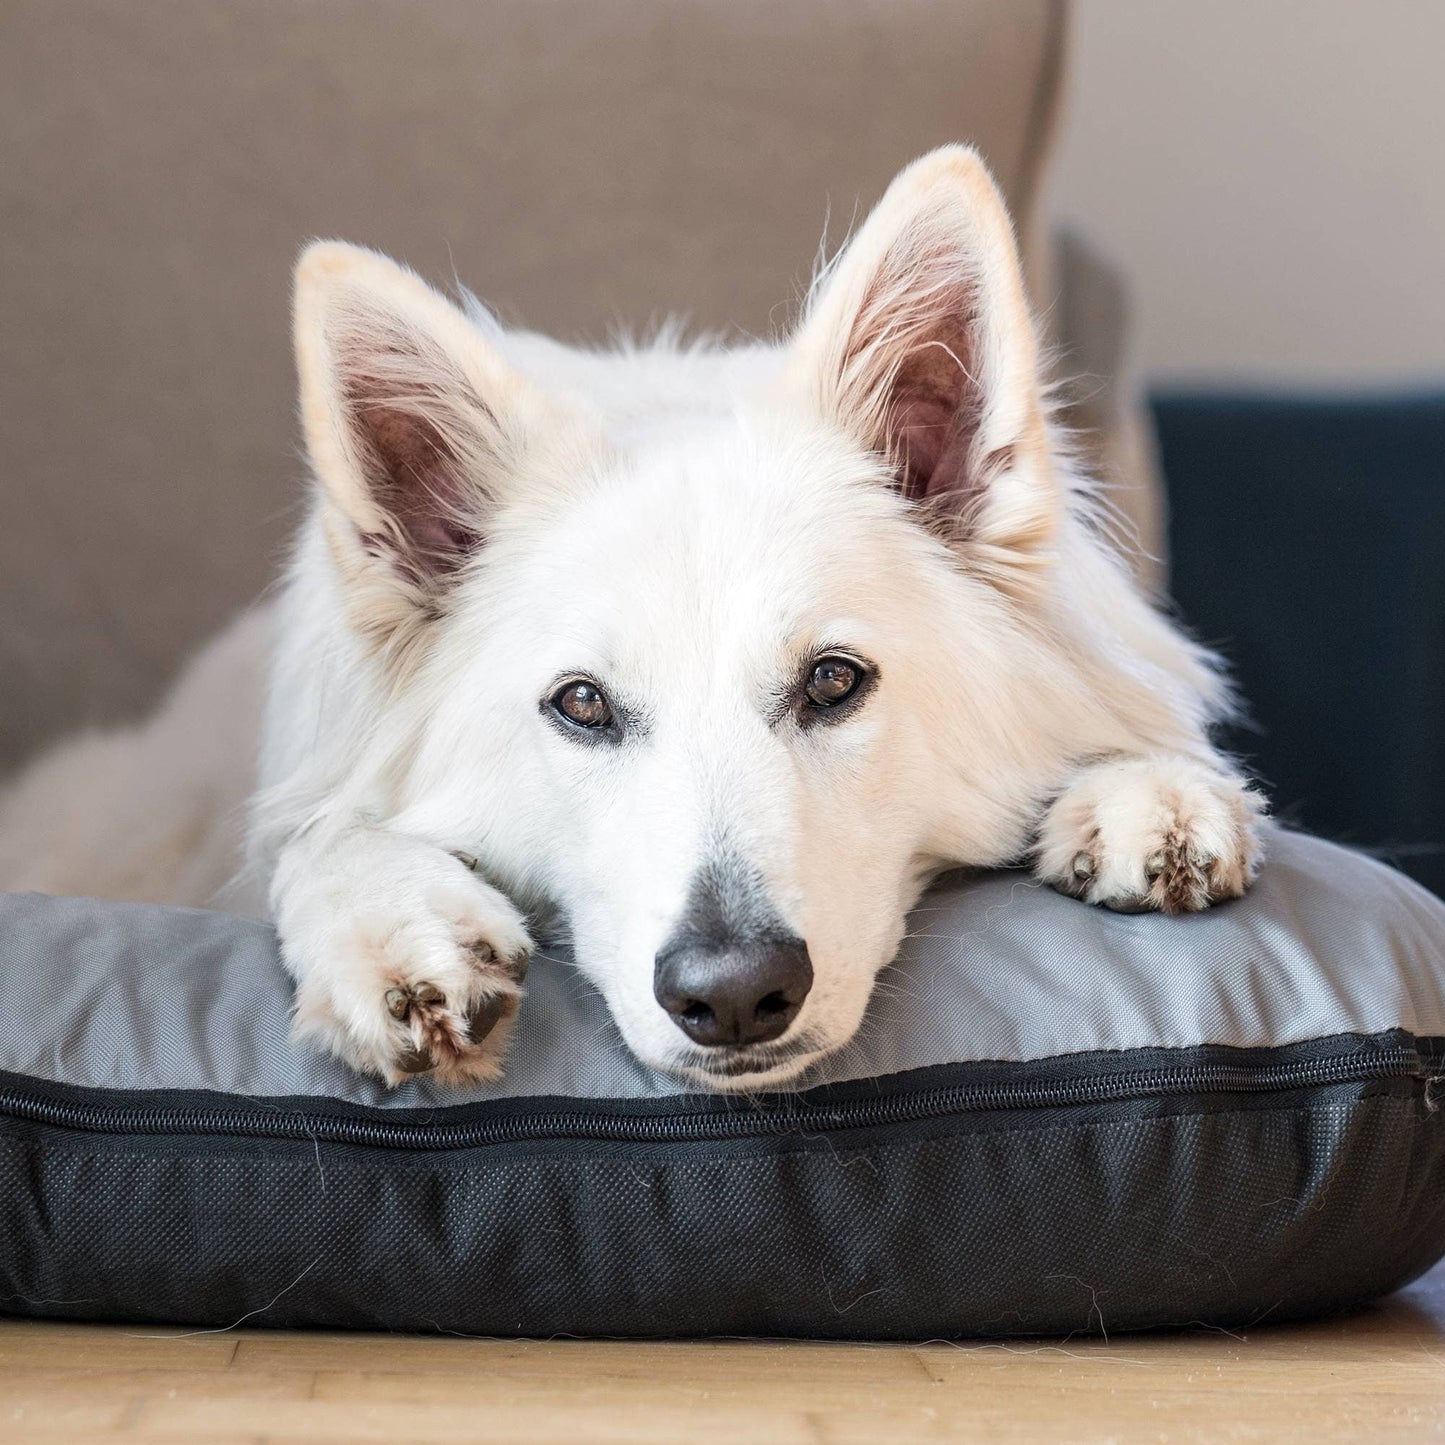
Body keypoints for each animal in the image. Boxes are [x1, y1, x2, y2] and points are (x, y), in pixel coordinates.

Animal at [0, 152, 1265, 1086]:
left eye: (832, 680)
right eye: (581, 704)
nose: (734, 992)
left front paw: (1144, 787)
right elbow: (319, 835)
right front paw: (388, 918)